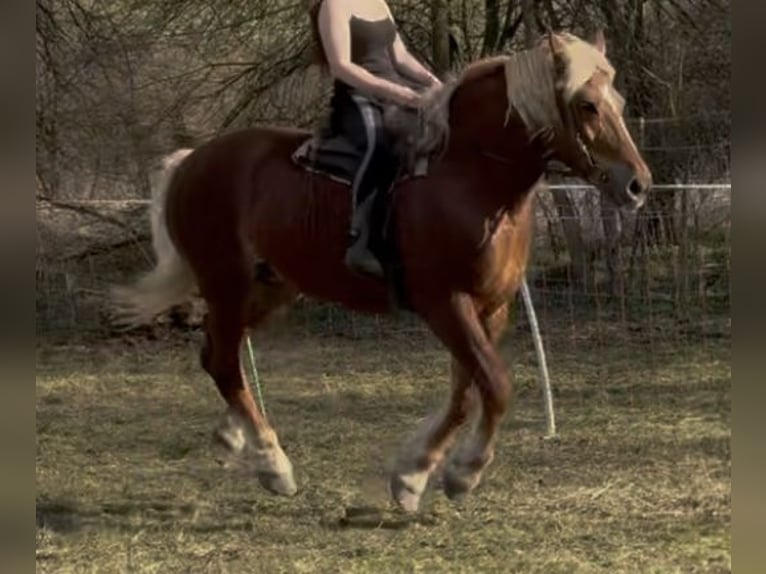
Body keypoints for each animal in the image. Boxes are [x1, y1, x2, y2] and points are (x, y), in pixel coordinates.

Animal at [111, 30, 652, 513]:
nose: (638, 185)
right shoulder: (445, 304)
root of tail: (191, 162)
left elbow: (466, 393)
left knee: (217, 356)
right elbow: (495, 386)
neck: (469, 176)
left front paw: (414, 473)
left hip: (269, 289)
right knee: (224, 360)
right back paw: (271, 461)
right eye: (587, 105)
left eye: (619, 101)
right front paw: (462, 472)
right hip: (226, 285)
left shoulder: (489, 309)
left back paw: (234, 439)